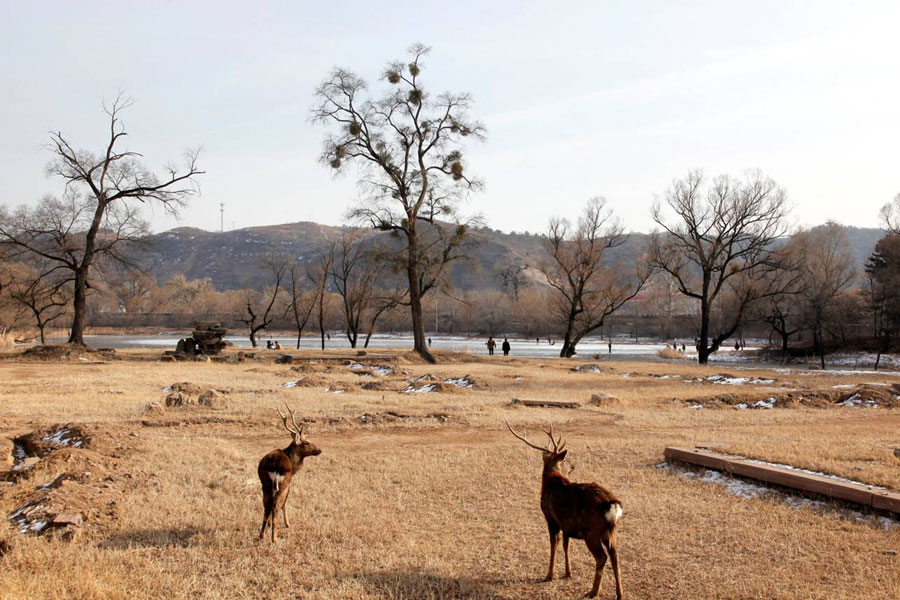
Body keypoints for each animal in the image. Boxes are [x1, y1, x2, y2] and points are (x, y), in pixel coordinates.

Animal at [255, 406, 322, 540]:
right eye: (306, 442)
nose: (319, 450)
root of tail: (275, 466)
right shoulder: (290, 482)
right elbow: (285, 503)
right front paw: (287, 524)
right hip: (282, 484)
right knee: (276, 507)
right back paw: (274, 539)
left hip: (265, 484)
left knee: (266, 506)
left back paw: (262, 535)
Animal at [506, 422, 624, 600]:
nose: (572, 466)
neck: (550, 482)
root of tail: (612, 505)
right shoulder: (566, 524)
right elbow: (566, 545)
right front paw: (568, 572)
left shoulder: (550, 518)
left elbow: (554, 544)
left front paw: (549, 575)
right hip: (610, 531)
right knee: (615, 556)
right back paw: (619, 593)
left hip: (591, 531)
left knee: (602, 557)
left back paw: (593, 591)